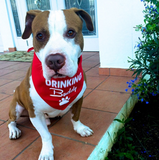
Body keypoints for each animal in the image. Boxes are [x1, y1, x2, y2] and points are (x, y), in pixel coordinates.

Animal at [7, 7, 94, 160]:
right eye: (40, 35)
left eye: (70, 32)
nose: (54, 60)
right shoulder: (34, 113)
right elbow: (46, 135)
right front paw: (47, 152)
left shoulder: (79, 99)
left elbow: (75, 117)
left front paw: (80, 128)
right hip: (16, 108)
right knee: (10, 121)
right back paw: (13, 130)